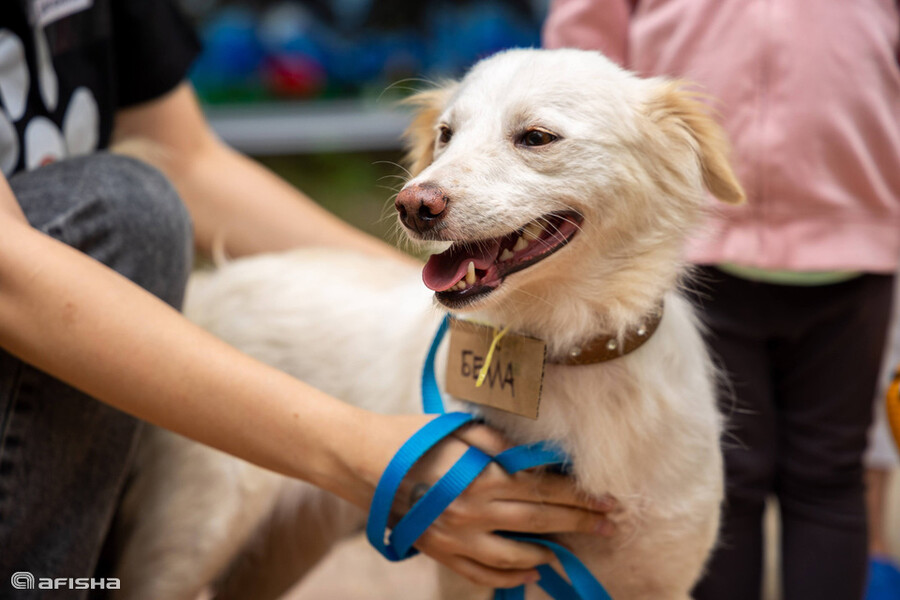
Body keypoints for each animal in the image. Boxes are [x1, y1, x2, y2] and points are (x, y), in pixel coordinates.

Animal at [112, 48, 744, 600]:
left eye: (536, 137)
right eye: (446, 134)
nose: (414, 204)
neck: (560, 351)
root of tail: (213, 282)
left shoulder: (662, 571)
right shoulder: (482, 566)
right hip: (188, 536)